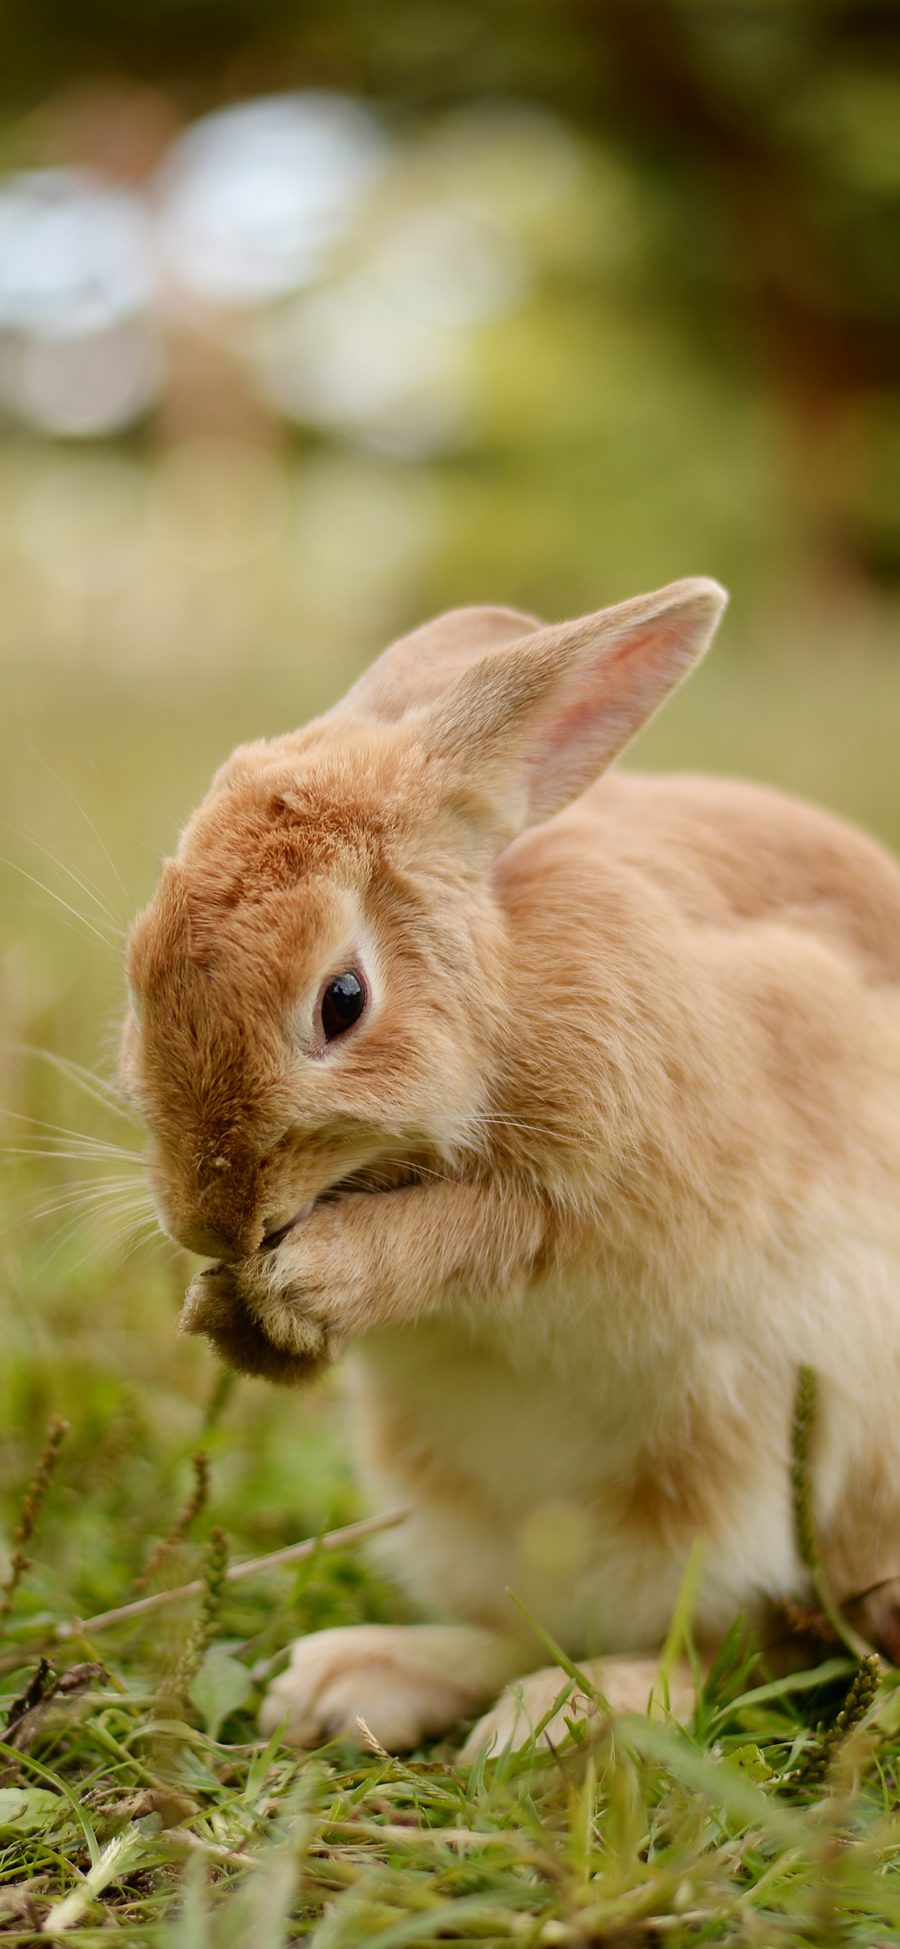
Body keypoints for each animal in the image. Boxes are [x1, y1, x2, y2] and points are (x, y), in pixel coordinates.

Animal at [123, 576, 900, 1754]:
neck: (500, 987)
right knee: (535, 1621)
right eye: (139, 964)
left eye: (342, 999)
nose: (212, 1220)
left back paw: (560, 1715)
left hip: (746, 1470)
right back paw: (353, 1681)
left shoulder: (607, 1197)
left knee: (728, 1640)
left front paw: (311, 1279)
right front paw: (227, 1311)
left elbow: (486, 1231)